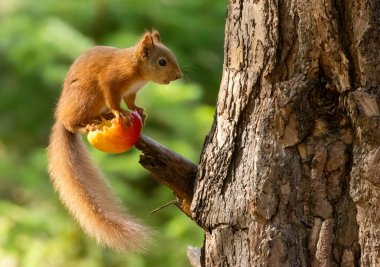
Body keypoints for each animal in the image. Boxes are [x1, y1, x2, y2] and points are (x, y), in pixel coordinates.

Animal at [47, 30, 183, 252]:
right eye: (162, 62)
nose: (179, 76)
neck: (138, 71)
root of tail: (60, 116)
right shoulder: (110, 82)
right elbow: (113, 100)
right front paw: (121, 113)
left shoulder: (131, 91)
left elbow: (131, 102)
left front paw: (139, 111)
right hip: (88, 97)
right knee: (72, 124)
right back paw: (87, 125)